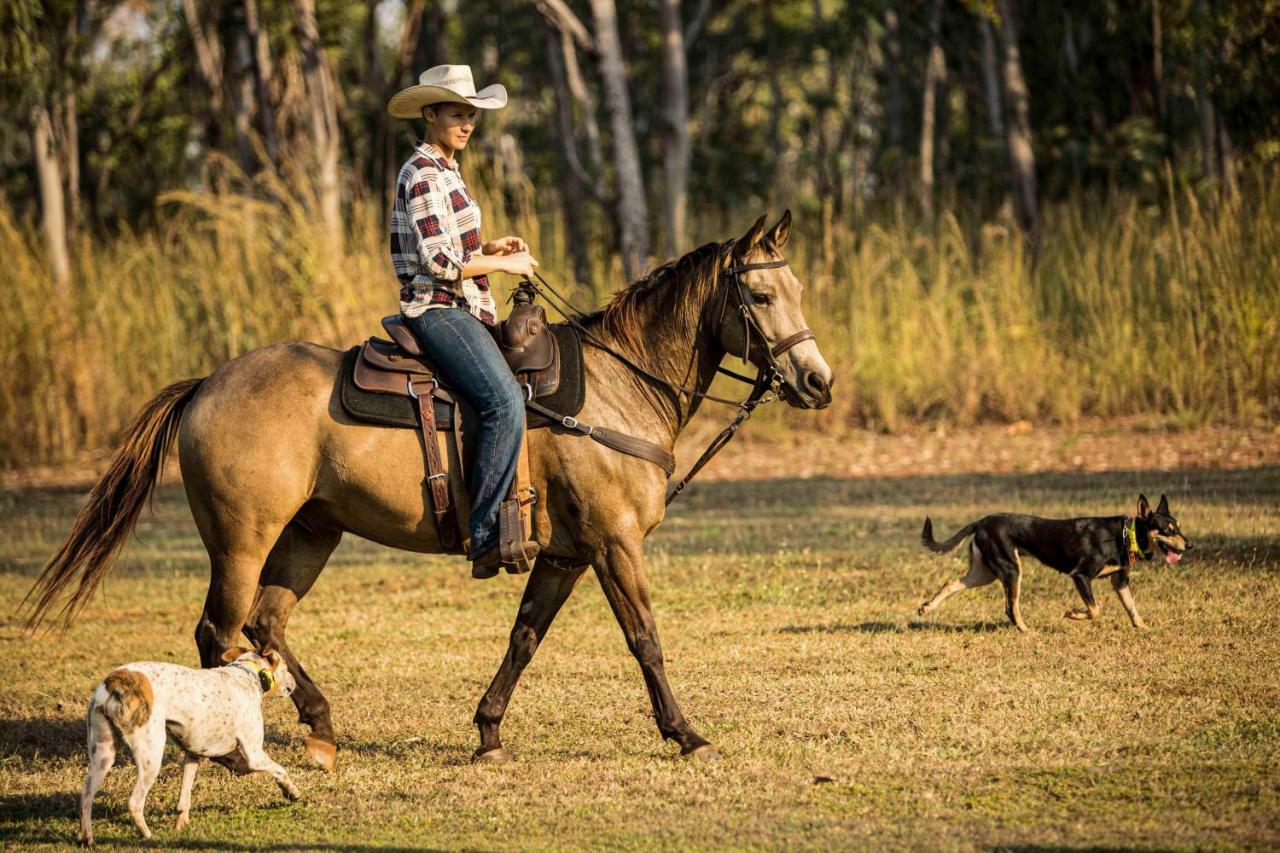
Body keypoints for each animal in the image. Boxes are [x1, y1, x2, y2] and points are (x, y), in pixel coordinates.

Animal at [30, 208, 834, 768]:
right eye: (760, 295)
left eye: (798, 287)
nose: (817, 381)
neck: (618, 386)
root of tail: (205, 385)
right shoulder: (614, 543)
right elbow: (646, 640)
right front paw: (688, 733)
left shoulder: (565, 554)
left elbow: (524, 637)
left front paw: (488, 732)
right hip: (241, 539)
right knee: (217, 632)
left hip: (311, 533)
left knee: (266, 625)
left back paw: (322, 729)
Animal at [78, 648, 299, 840]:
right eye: (286, 666)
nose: (295, 683)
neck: (247, 673)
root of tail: (114, 681)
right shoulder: (254, 755)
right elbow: (282, 770)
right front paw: (291, 792)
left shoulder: (193, 754)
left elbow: (184, 797)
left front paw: (181, 825)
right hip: (151, 756)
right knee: (134, 802)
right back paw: (148, 836)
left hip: (102, 755)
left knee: (86, 795)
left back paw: (86, 837)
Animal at [916, 494, 1182, 627]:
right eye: (1167, 530)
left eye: (1178, 527)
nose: (1188, 545)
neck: (1126, 535)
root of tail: (982, 521)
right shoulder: (1080, 576)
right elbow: (1095, 610)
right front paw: (1073, 614)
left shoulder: (1120, 582)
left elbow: (1132, 609)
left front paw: (1144, 628)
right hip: (1011, 571)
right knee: (1011, 607)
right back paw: (1028, 632)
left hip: (984, 574)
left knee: (950, 584)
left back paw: (927, 607)